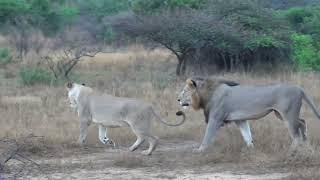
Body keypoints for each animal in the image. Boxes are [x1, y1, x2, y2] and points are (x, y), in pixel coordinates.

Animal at [178, 76, 318, 153]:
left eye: (184, 91)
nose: (178, 99)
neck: (207, 93)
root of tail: (299, 88)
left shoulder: (215, 118)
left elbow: (207, 136)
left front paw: (200, 150)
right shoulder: (240, 120)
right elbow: (247, 135)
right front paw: (251, 149)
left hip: (288, 114)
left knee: (296, 134)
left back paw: (291, 151)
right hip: (280, 114)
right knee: (302, 122)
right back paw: (306, 144)